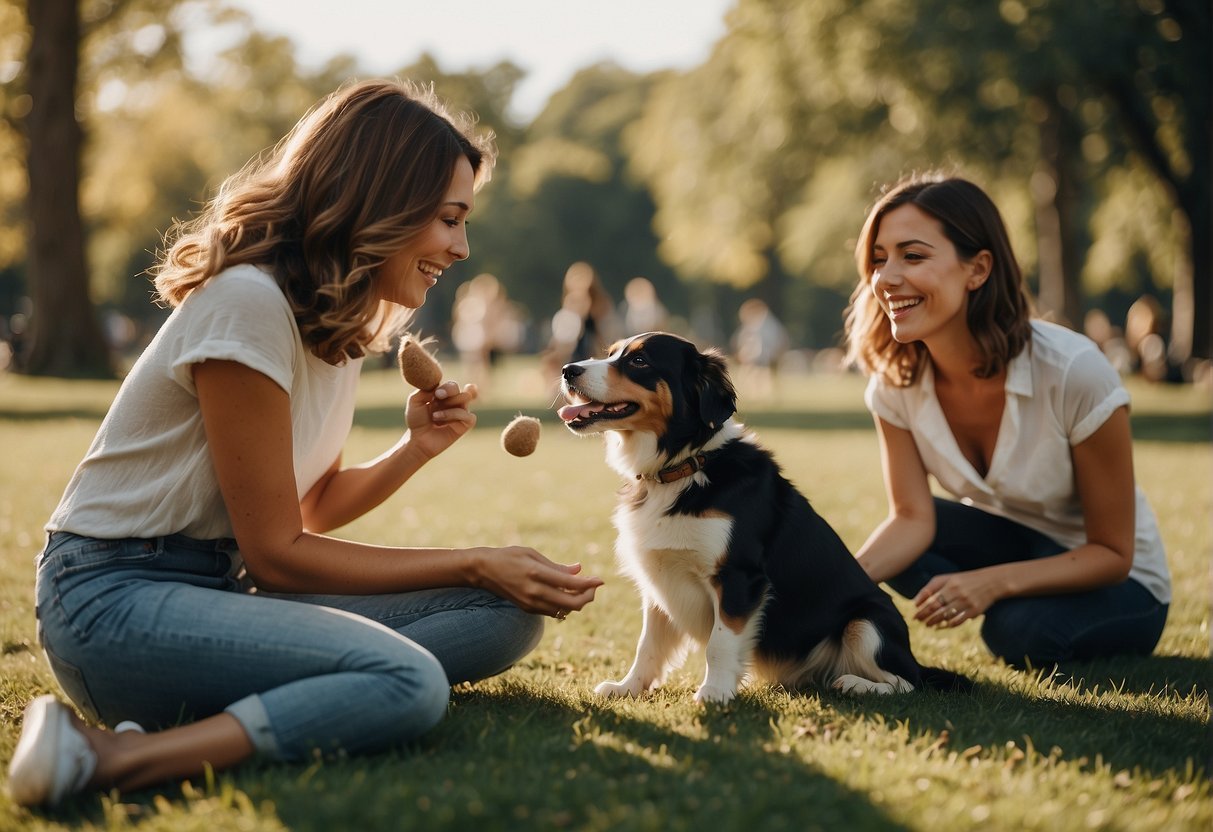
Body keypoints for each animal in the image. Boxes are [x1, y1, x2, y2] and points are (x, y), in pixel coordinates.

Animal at [555, 329, 965, 703]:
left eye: (639, 361)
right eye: (610, 353)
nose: (568, 370)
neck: (685, 467)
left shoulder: (739, 577)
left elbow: (719, 644)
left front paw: (715, 692)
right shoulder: (660, 580)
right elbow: (648, 645)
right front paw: (627, 687)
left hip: (867, 622)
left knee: (907, 682)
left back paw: (857, 684)